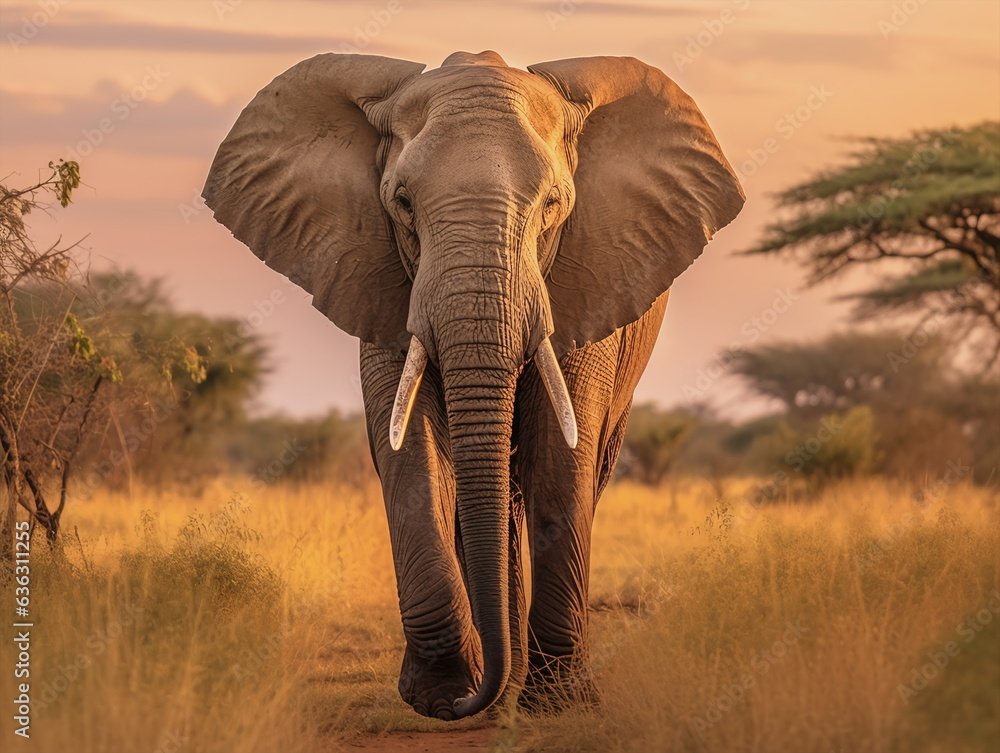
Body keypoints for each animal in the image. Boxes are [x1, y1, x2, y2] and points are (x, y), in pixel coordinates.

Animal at [203, 49, 744, 721]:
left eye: (553, 204)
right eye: (402, 202)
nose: (466, 704)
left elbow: (561, 458)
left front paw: (559, 702)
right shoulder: (382, 275)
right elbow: (411, 456)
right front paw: (441, 693)